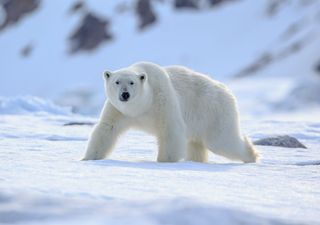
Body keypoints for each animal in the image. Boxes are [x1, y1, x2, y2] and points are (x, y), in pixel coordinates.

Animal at [82, 62, 258, 163]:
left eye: (131, 82)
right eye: (117, 82)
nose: (125, 95)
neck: (141, 106)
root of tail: (227, 91)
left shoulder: (162, 100)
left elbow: (170, 130)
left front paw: (164, 161)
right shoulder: (118, 110)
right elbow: (107, 129)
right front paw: (88, 158)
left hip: (213, 113)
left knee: (222, 141)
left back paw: (252, 156)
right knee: (196, 144)